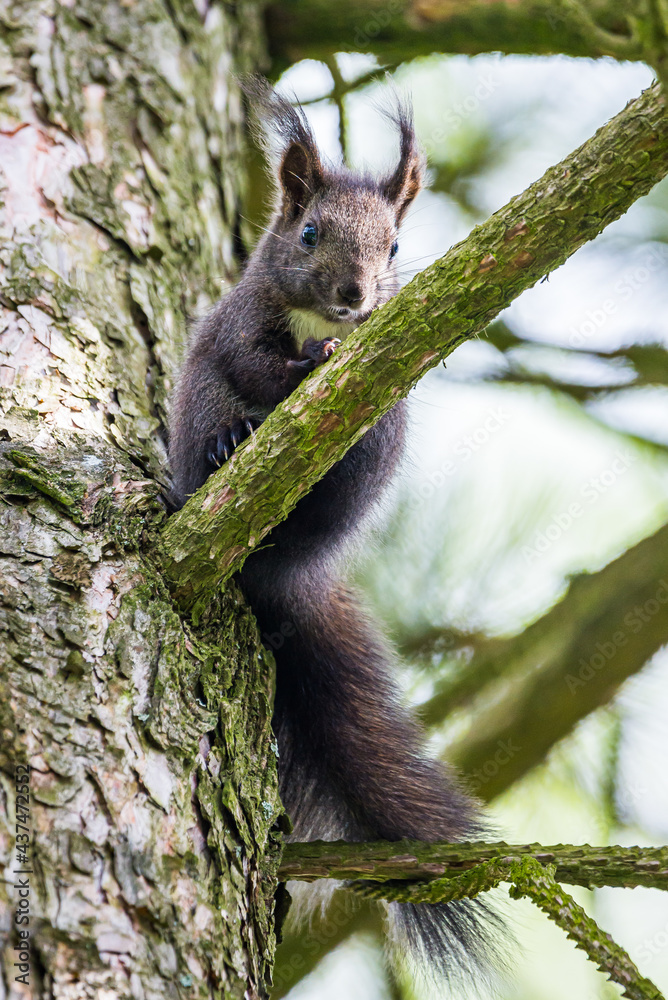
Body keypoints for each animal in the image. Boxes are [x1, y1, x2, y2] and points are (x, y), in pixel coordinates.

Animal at [169, 80, 498, 983]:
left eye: (395, 246)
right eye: (310, 231)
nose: (356, 296)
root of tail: (281, 574)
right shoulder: (240, 324)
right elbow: (253, 362)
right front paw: (295, 372)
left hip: (367, 466)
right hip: (200, 418)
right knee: (219, 417)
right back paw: (226, 449)